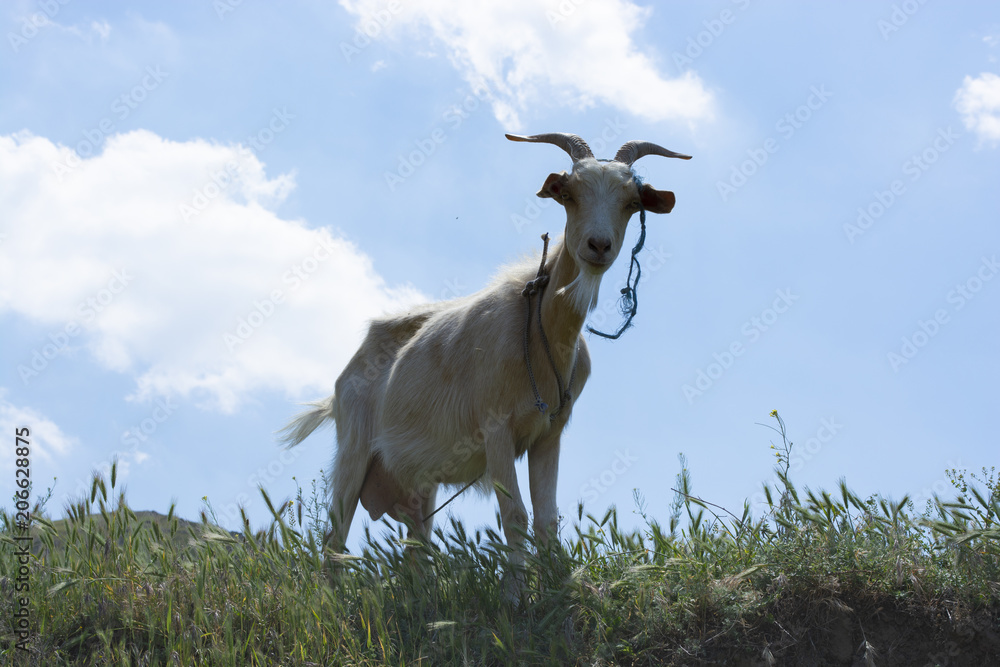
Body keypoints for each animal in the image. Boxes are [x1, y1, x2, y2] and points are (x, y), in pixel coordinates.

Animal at [280, 132, 690, 575]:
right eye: (570, 194)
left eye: (631, 202)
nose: (598, 246)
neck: (541, 331)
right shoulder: (496, 429)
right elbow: (516, 517)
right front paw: (517, 587)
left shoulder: (550, 434)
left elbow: (547, 520)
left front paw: (559, 584)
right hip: (353, 450)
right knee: (334, 541)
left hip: (418, 483)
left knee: (416, 549)